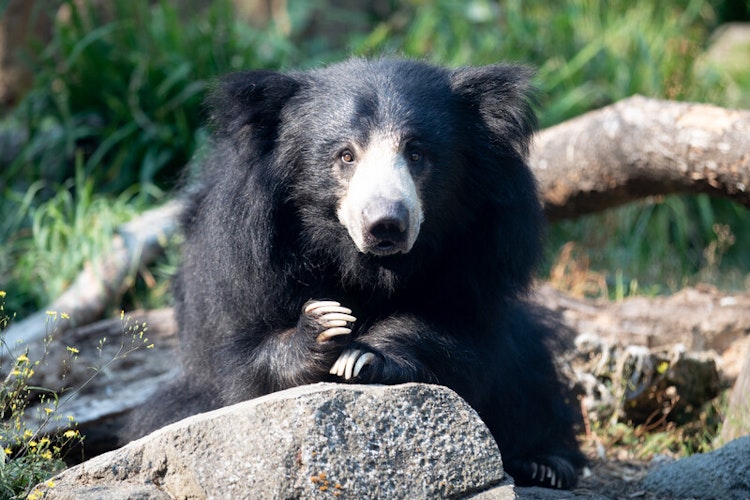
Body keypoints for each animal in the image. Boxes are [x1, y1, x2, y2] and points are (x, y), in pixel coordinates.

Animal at [128, 57, 588, 488]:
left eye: (416, 153)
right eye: (346, 155)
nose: (386, 224)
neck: (366, 264)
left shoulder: (484, 248)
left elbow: (454, 331)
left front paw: (363, 356)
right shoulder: (242, 251)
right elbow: (243, 361)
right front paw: (323, 326)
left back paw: (545, 463)